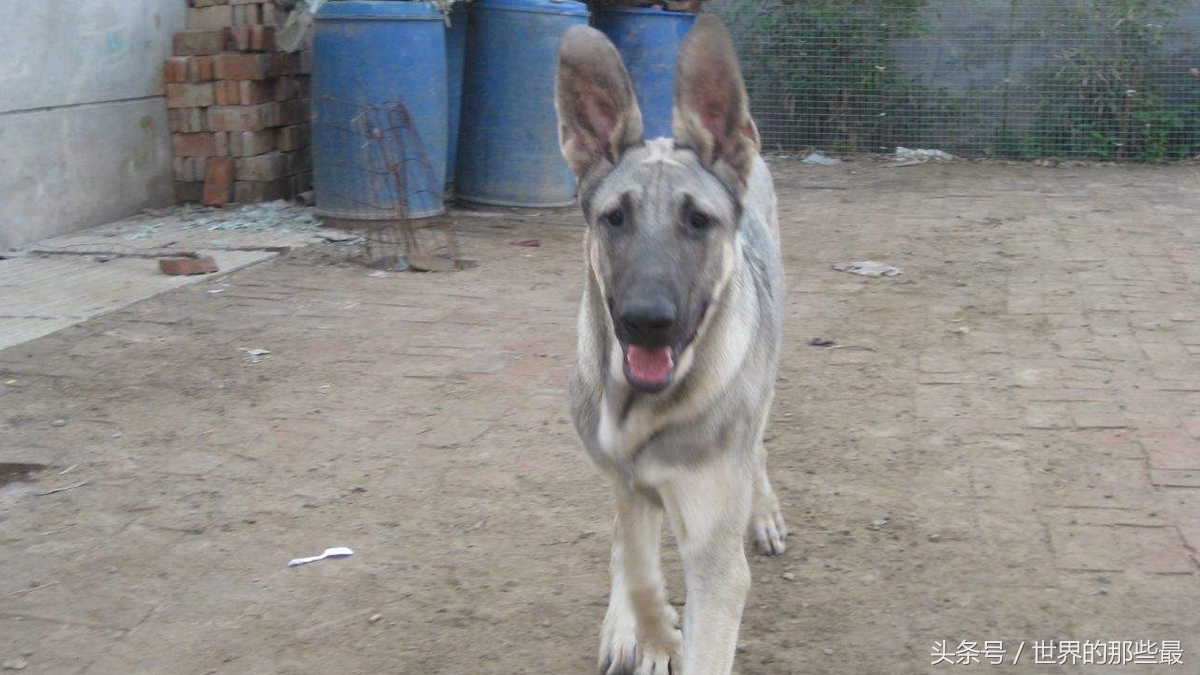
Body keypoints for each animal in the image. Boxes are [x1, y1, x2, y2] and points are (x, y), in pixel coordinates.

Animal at [559, 15, 792, 672]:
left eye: (698, 221)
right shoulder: (624, 478)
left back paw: (764, 512)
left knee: (757, 447)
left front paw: (664, 633)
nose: (646, 321)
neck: (644, 407)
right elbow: (637, 564)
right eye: (614, 218)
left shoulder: (716, 556)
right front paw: (654, 631)